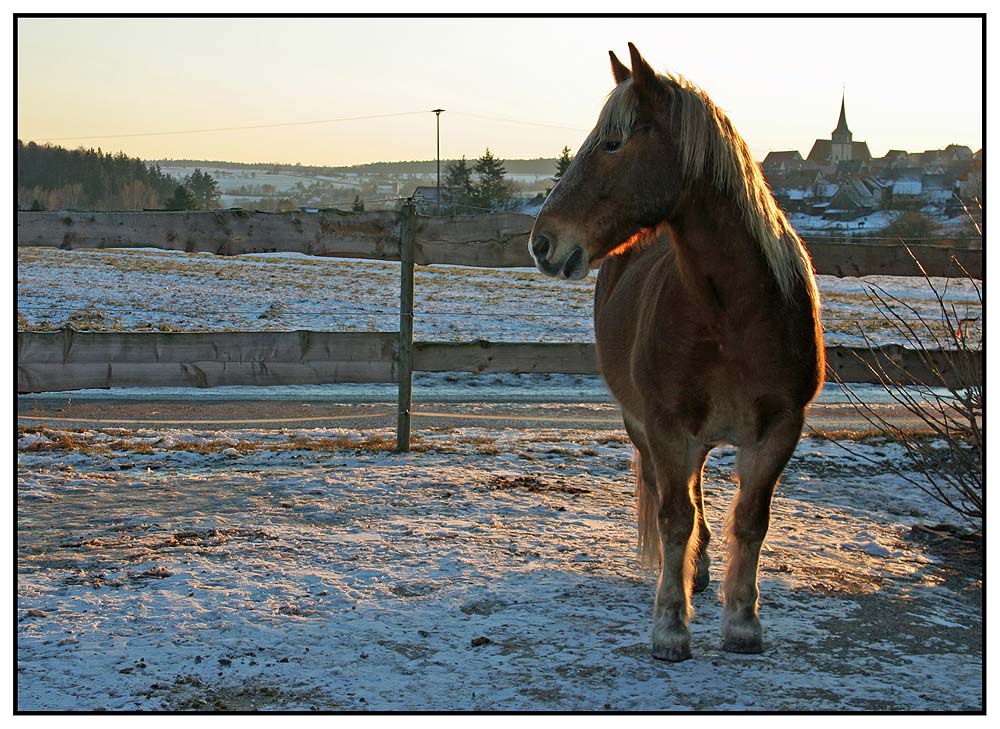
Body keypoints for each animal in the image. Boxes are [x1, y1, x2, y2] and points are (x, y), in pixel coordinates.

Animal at [528, 42, 824, 664]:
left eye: (613, 143)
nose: (542, 242)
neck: (735, 314)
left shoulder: (781, 428)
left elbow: (750, 521)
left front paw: (743, 623)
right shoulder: (665, 426)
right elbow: (673, 519)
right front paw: (670, 627)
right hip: (643, 426)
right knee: (682, 498)